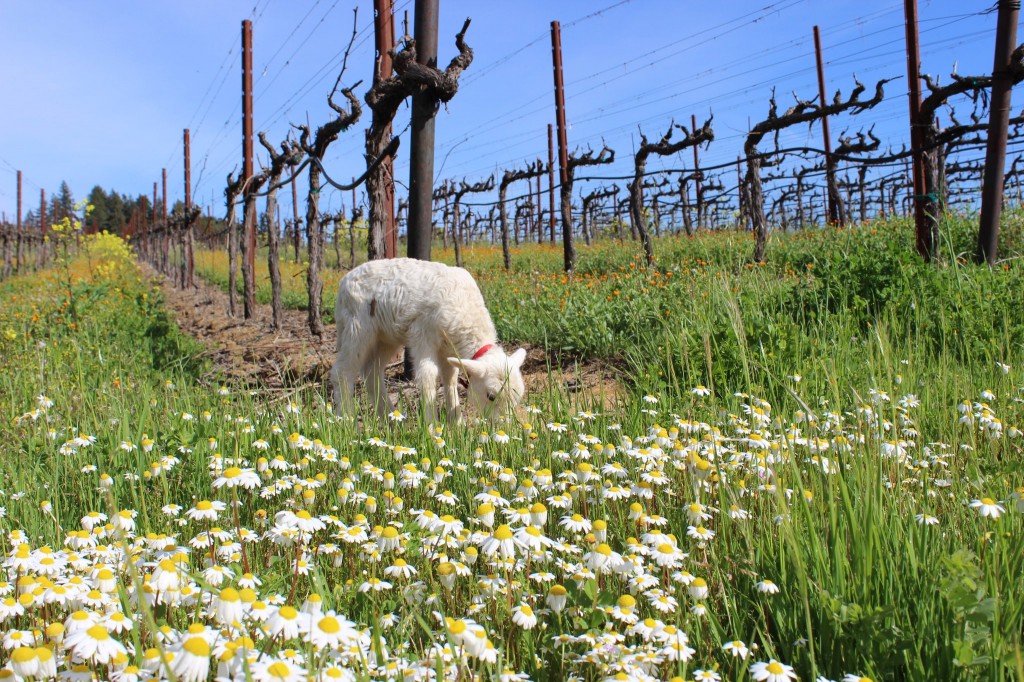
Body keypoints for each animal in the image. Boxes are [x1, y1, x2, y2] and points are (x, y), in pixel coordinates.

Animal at [331, 258, 528, 421]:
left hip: (385, 337)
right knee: (342, 371)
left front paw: (456, 424)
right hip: (356, 326)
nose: (503, 426)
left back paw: (391, 421)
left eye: (517, 397)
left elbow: (450, 378)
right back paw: (347, 424)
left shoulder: (448, 348)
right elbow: (428, 376)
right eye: (491, 396)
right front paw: (432, 430)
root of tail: (344, 281)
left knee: (371, 372)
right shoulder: (423, 334)